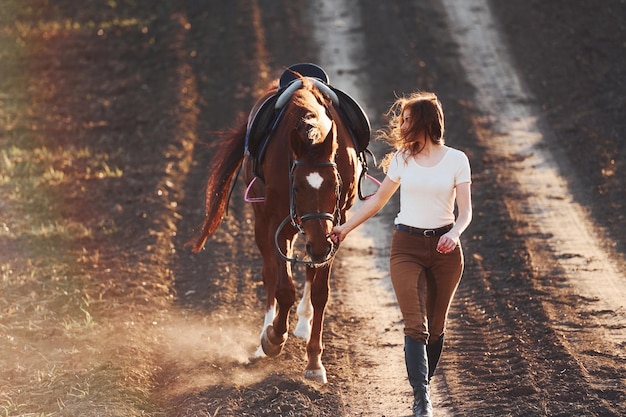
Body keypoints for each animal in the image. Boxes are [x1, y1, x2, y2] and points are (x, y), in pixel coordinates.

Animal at [188, 66, 368, 384]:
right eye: (296, 187)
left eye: (335, 185)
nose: (320, 246)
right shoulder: (276, 224)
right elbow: (283, 288)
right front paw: (273, 338)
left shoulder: (334, 227)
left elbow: (320, 291)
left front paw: (314, 361)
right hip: (266, 222)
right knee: (270, 273)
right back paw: (268, 334)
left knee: (307, 269)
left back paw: (303, 323)